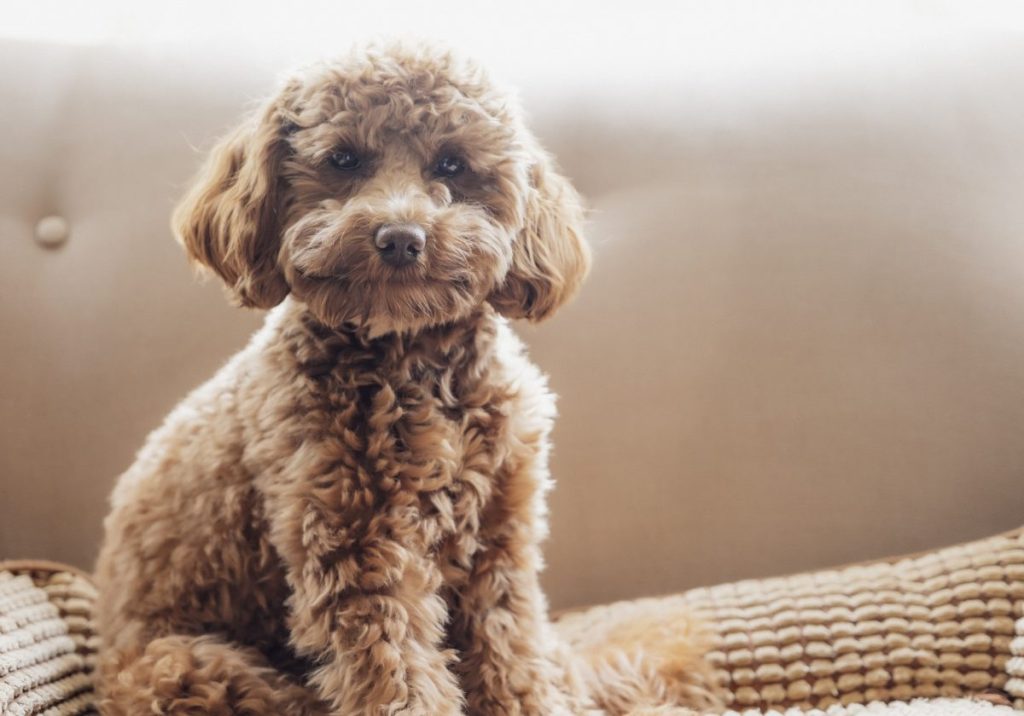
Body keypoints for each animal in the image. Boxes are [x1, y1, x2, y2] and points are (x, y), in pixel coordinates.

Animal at [96, 44, 720, 716]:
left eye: (452, 163)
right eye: (344, 160)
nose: (400, 238)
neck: (415, 359)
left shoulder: (498, 545)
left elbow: (513, 657)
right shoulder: (360, 551)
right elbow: (399, 677)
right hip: (183, 667)